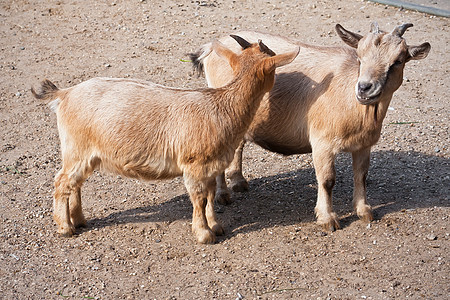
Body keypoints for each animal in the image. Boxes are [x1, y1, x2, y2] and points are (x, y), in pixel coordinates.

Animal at [30, 37, 298, 244]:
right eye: (273, 60)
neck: (223, 106)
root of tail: (64, 94)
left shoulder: (211, 167)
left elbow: (210, 196)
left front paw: (216, 226)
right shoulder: (194, 165)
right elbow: (199, 198)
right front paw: (204, 234)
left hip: (86, 153)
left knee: (75, 183)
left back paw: (79, 220)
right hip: (76, 147)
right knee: (62, 182)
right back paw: (65, 227)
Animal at [192, 22, 430, 230]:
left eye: (398, 61)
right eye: (359, 58)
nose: (365, 88)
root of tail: (211, 46)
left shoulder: (363, 145)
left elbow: (361, 175)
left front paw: (364, 211)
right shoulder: (322, 143)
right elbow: (327, 180)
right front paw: (328, 219)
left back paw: (238, 182)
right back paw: (223, 195)